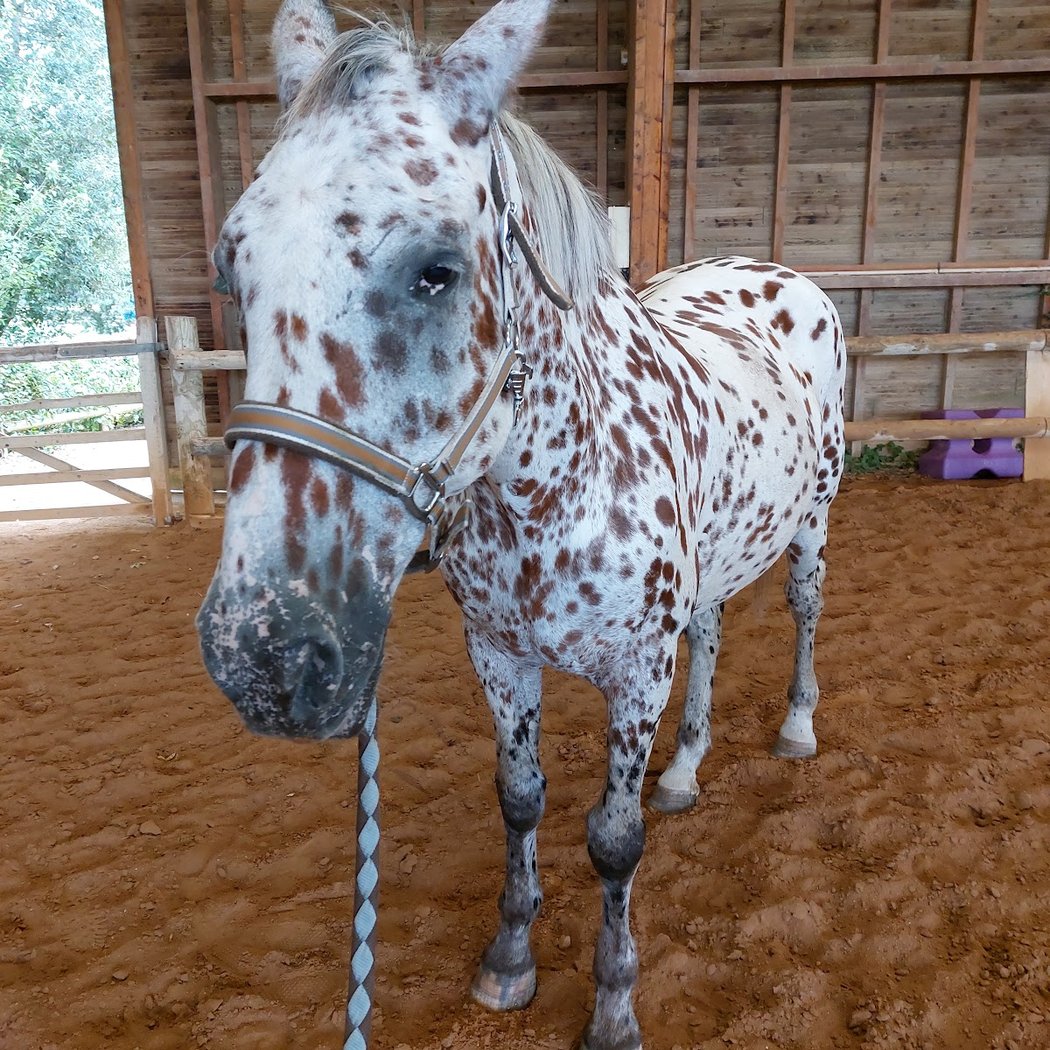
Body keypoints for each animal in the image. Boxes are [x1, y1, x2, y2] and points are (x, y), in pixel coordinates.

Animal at [196, 1, 847, 1046]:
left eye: (437, 271)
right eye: (231, 267)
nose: (265, 655)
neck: (549, 489)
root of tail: (778, 275)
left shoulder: (637, 671)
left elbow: (614, 841)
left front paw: (614, 1003)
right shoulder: (498, 657)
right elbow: (519, 801)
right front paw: (509, 961)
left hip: (813, 525)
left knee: (803, 612)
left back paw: (794, 727)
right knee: (710, 636)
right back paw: (685, 769)